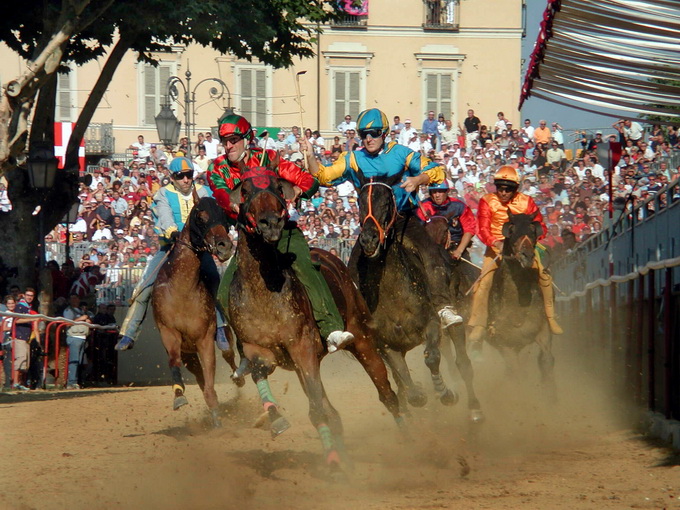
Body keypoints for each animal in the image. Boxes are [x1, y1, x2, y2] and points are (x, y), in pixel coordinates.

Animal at [152, 195, 239, 426]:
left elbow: (210, 381)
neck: (182, 289)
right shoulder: (169, 333)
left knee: (228, 354)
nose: (225, 246)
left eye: (224, 216)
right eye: (200, 216)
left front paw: (217, 418)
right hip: (189, 355)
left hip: (222, 337)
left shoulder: (205, 338)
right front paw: (179, 395)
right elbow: (174, 361)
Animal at [223, 166, 404, 470]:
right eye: (245, 191)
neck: (264, 291)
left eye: (278, 187)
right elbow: (261, 369)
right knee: (334, 409)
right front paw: (276, 418)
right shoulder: (257, 347)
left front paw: (334, 465)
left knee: (387, 394)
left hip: (362, 339)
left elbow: (318, 410)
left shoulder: (303, 347)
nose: (271, 224)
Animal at [350, 175, 484, 422]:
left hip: (456, 321)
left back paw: (475, 410)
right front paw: (419, 395)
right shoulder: (386, 345)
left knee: (462, 362)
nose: (369, 240)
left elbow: (432, 357)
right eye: (359, 201)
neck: (394, 296)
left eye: (387, 202)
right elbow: (406, 383)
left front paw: (446, 392)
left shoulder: (431, 324)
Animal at [486, 211, 556, 394]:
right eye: (511, 230)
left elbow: (546, 362)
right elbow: (514, 371)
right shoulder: (504, 344)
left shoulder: (542, 331)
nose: (527, 256)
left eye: (533, 230)